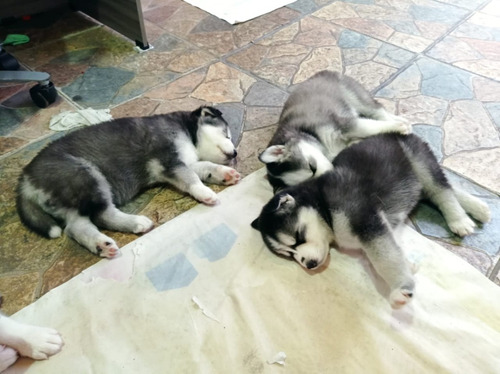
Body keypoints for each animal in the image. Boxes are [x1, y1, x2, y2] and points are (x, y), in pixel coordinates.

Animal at [16, 105, 239, 258]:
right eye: (227, 134)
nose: (235, 153)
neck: (187, 132)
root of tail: (26, 177)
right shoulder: (169, 161)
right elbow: (191, 178)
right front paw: (206, 193)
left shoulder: (181, 163)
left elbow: (205, 166)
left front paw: (224, 173)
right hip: (87, 175)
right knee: (101, 214)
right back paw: (137, 222)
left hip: (73, 197)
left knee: (76, 227)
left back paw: (102, 245)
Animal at [252, 133, 490, 308]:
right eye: (289, 254)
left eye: (298, 237)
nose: (308, 265)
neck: (323, 206)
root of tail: (397, 133)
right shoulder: (380, 225)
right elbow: (393, 251)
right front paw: (408, 266)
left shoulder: (367, 222)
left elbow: (384, 259)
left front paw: (401, 288)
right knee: (444, 187)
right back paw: (479, 208)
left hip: (419, 162)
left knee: (441, 190)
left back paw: (459, 219)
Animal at [258, 70, 410, 193]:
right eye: (311, 179)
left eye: (312, 166)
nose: (331, 176)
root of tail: (322, 72)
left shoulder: (343, 123)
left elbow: (367, 127)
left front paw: (398, 127)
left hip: (358, 98)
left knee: (379, 112)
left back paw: (400, 123)